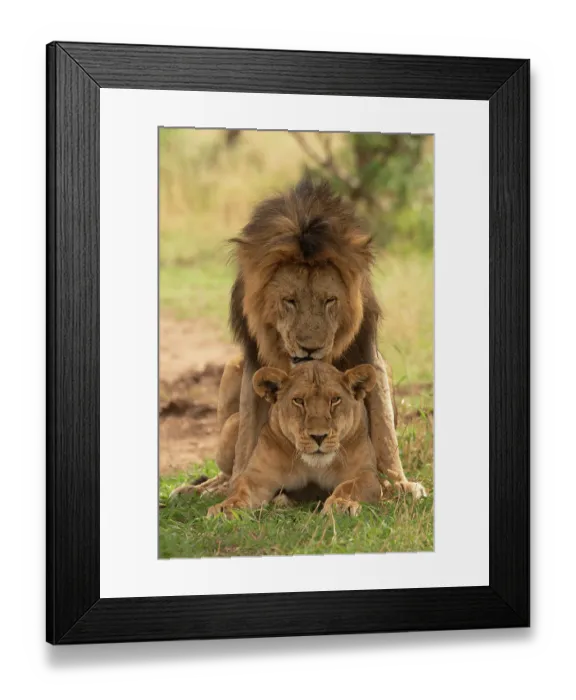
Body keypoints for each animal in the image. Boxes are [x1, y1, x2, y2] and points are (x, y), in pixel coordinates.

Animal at [188, 177, 424, 500]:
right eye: (289, 301)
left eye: (330, 300)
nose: (310, 349)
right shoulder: (253, 356)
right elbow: (248, 434)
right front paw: (236, 485)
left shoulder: (366, 348)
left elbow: (383, 425)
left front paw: (398, 482)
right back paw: (205, 488)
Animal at [206, 361, 407, 518]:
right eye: (299, 401)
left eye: (335, 400)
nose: (319, 436)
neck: (313, 465)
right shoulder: (257, 477)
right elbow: (241, 490)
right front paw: (226, 508)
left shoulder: (365, 474)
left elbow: (350, 487)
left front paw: (341, 505)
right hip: (233, 424)